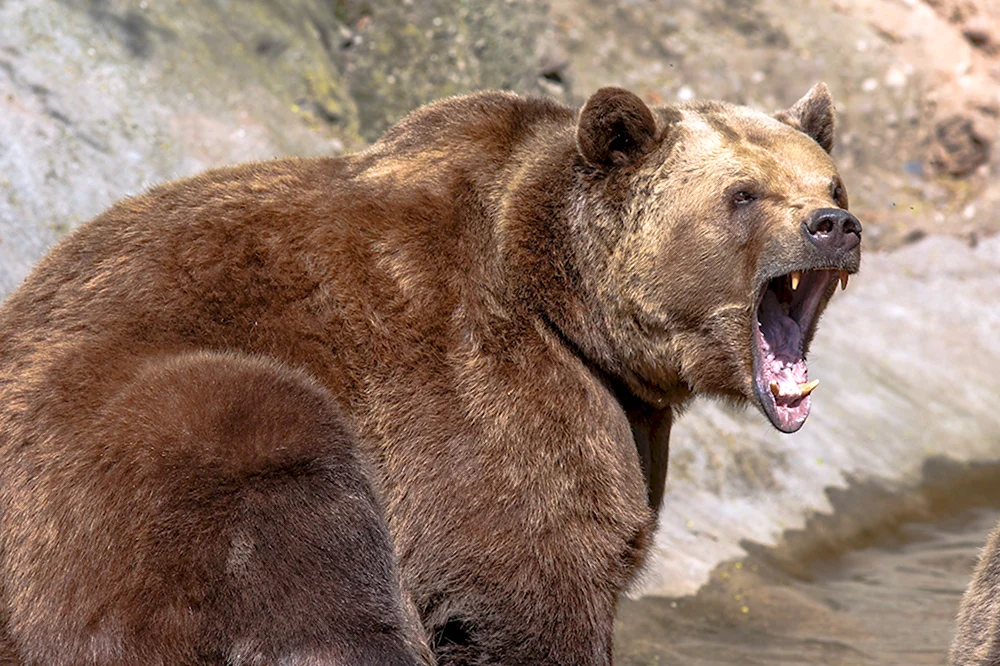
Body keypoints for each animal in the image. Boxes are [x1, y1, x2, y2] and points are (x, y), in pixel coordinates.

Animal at [0, 84, 860, 664]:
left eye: (829, 182)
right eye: (743, 194)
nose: (834, 226)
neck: (571, 307)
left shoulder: (622, 417)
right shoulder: (487, 389)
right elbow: (525, 580)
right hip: (111, 451)